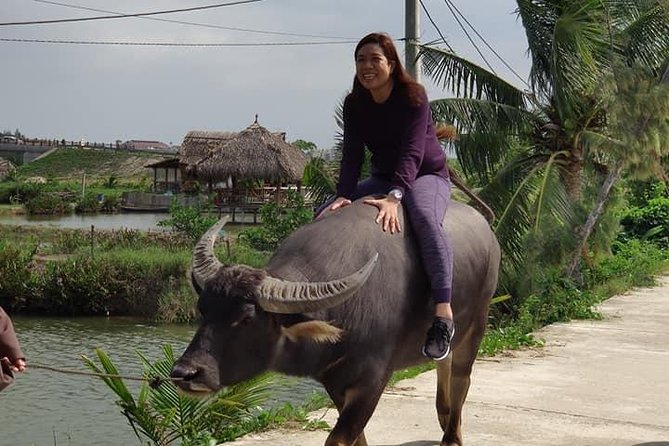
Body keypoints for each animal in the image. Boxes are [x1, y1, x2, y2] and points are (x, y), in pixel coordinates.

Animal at [172, 197, 500, 446]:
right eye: (203, 309)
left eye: (245, 319)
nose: (184, 372)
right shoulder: (334, 380)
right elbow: (357, 438)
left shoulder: (373, 380)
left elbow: (340, 439)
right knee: (444, 360)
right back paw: (444, 415)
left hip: (479, 319)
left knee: (461, 375)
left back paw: (452, 435)